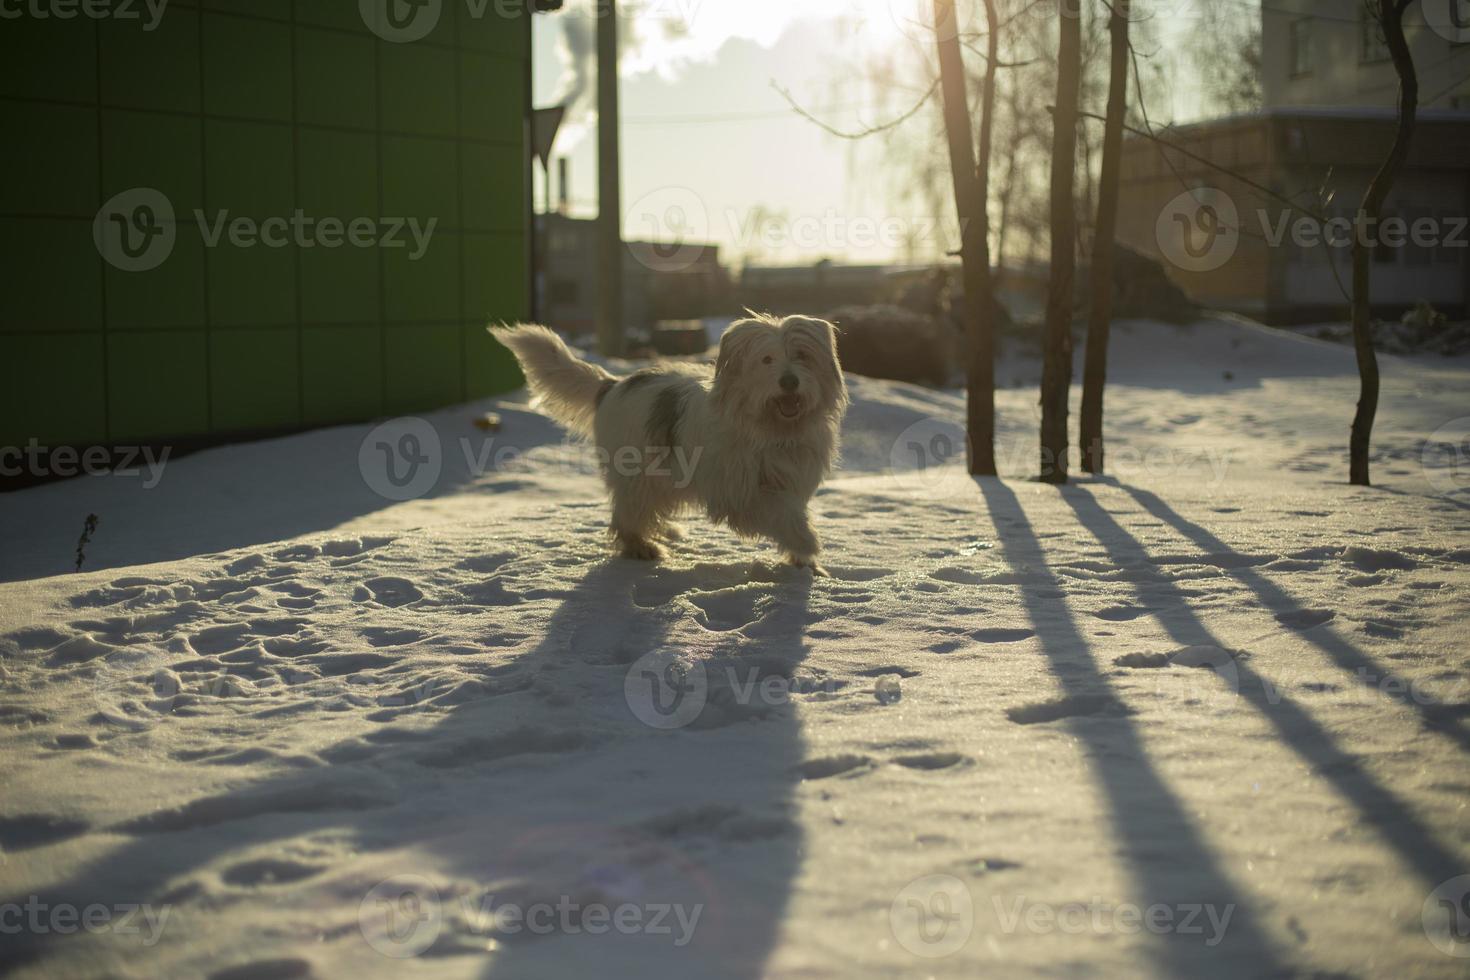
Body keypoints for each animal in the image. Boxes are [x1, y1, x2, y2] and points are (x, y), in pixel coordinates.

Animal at [490, 318, 852, 570]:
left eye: (802, 355)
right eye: (766, 360)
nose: (789, 381)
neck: (770, 429)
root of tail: (613, 384)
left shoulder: (792, 478)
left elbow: (789, 510)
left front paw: (802, 559)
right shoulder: (737, 491)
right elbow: (779, 511)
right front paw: (807, 542)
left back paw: (662, 531)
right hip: (638, 474)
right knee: (627, 514)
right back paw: (641, 546)